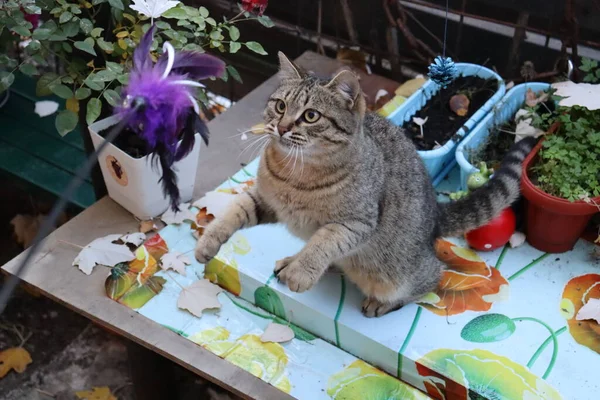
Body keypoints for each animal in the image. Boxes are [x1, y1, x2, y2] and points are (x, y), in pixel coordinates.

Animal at [196, 52, 536, 316]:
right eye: (280, 106)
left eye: (310, 116)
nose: (280, 127)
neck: (295, 171)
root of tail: (435, 215)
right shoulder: (264, 199)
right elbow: (234, 210)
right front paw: (209, 241)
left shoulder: (355, 222)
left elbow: (322, 242)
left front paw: (302, 271)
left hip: (397, 275)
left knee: (432, 277)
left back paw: (379, 300)